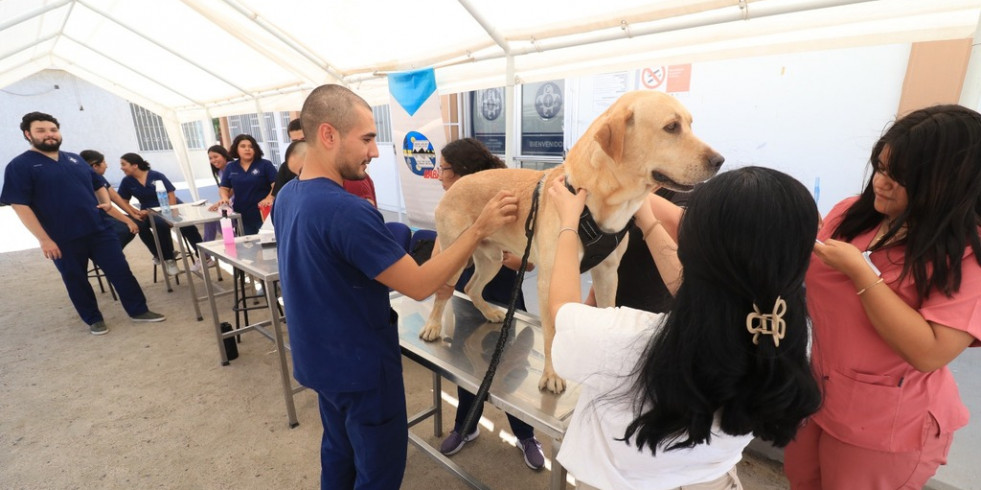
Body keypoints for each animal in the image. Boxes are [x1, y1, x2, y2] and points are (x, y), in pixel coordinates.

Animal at [418, 91, 724, 394]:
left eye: (690, 125)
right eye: (672, 127)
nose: (719, 160)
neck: (597, 200)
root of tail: (455, 186)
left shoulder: (608, 273)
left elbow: (607, 310)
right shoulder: (550, 280)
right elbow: (552, 331)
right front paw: (552, 374)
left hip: (491, 259)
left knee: (471, 287)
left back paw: (488, 311)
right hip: (454, 256)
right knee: (443, 292)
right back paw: (432, 326)